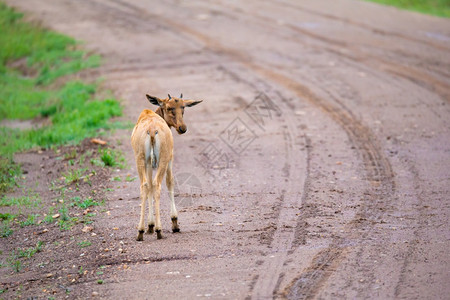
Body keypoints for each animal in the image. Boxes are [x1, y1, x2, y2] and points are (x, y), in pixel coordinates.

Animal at [129, 92, 201, 240]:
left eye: (183, 107)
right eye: (169, 107)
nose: (182, 128)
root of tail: (151, 129)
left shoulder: (149, 163)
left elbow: (149, 187)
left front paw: (150, 226)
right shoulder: (169, 159)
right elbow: (170, 182)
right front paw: (174, 224)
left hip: (140, 160)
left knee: (145, 185)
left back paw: (140, 232)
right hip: (162, 160)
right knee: (157, 184)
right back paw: (159, 230)